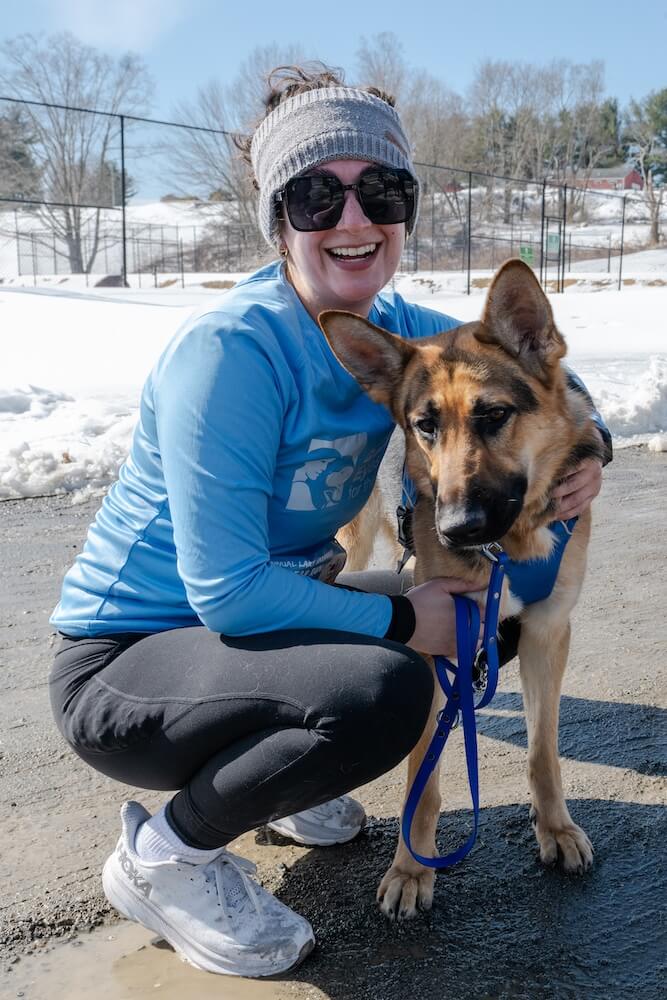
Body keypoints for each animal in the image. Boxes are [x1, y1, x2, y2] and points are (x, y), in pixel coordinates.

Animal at [320, 258, 608, 920]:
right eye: (425, 426)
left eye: (493, 415)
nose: (455, 529)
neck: (511, 548)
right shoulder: (440, 646)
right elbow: (421, 780)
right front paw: (410, 869)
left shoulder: (547, 632)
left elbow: (543, 751)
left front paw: (555, 830)